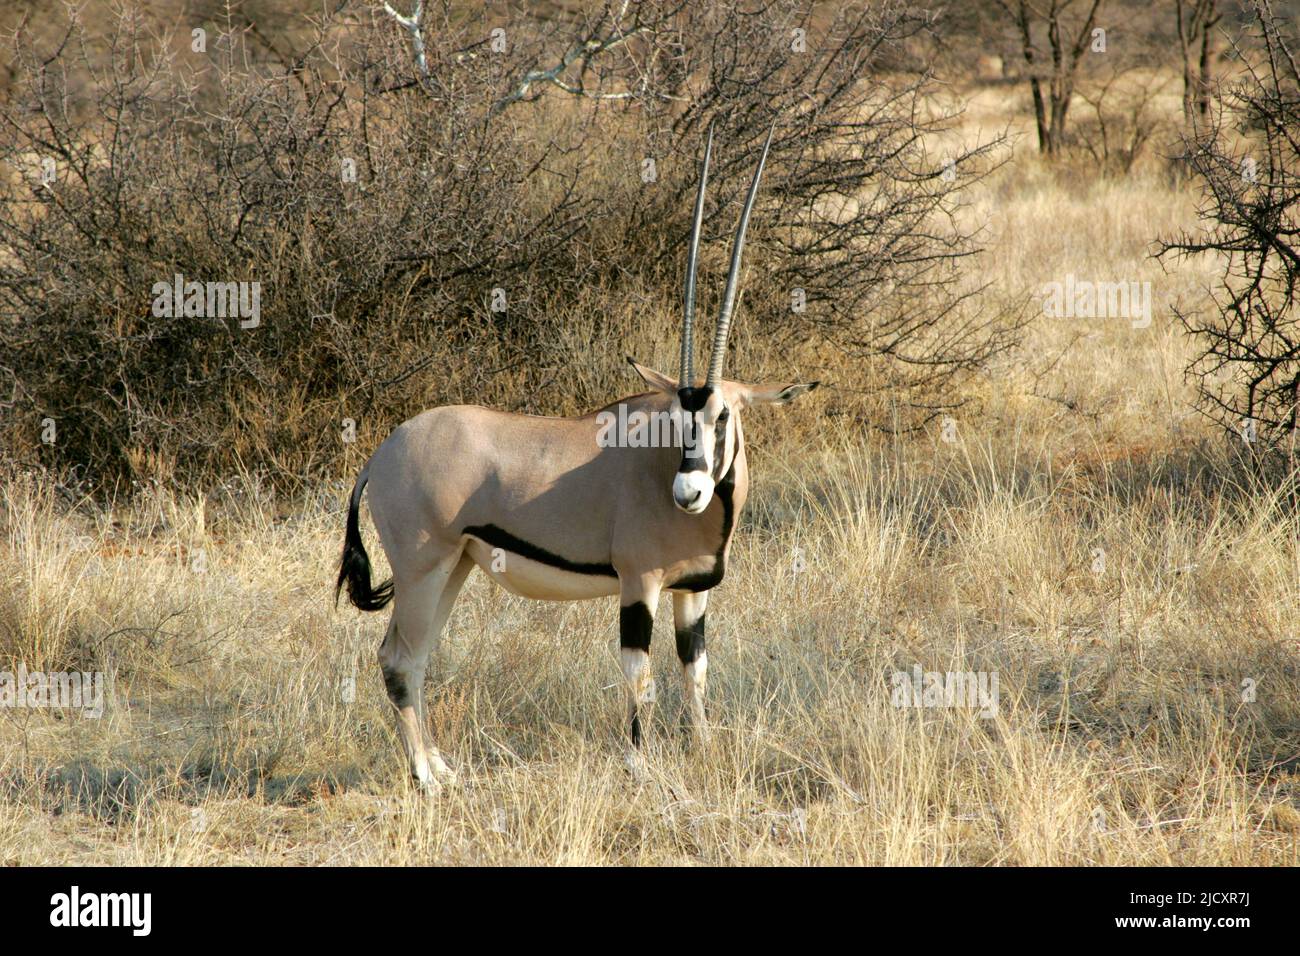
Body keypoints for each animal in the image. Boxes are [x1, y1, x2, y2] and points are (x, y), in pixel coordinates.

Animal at [340, 121, 816, 790]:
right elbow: (639, 673)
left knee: (415, 655)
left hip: (452, 567)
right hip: (422, 568)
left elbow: (694, 669)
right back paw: (426, 778)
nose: (688, 493)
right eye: (677, 418)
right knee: (397, 659)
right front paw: (639, 764)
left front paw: (703, 749)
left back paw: (440, 766)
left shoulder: (692, 590)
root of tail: (379, 456)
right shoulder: (639, 583)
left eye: (721, 415)